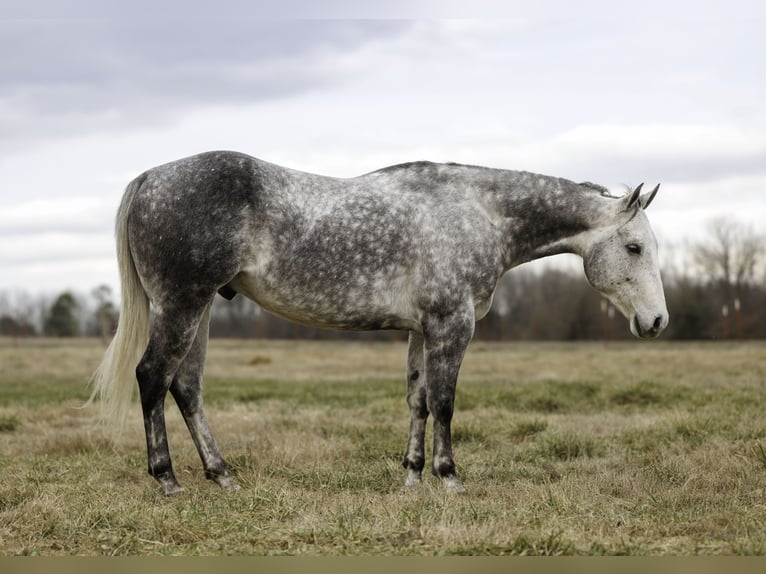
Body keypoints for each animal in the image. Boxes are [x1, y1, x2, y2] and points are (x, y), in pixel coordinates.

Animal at [90, 151, 668, 495]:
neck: (478, 213)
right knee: (152, 378)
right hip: (182, 306)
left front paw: (412, 478)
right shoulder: (452, 325)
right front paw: (449, 479)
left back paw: (222, 474)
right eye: (634, 248)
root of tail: (150, 177)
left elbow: (418, 400)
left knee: (186, 387)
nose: (657, 321)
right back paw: (167, 480)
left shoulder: (420, 329)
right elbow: (445, 402)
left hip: (201, 308)